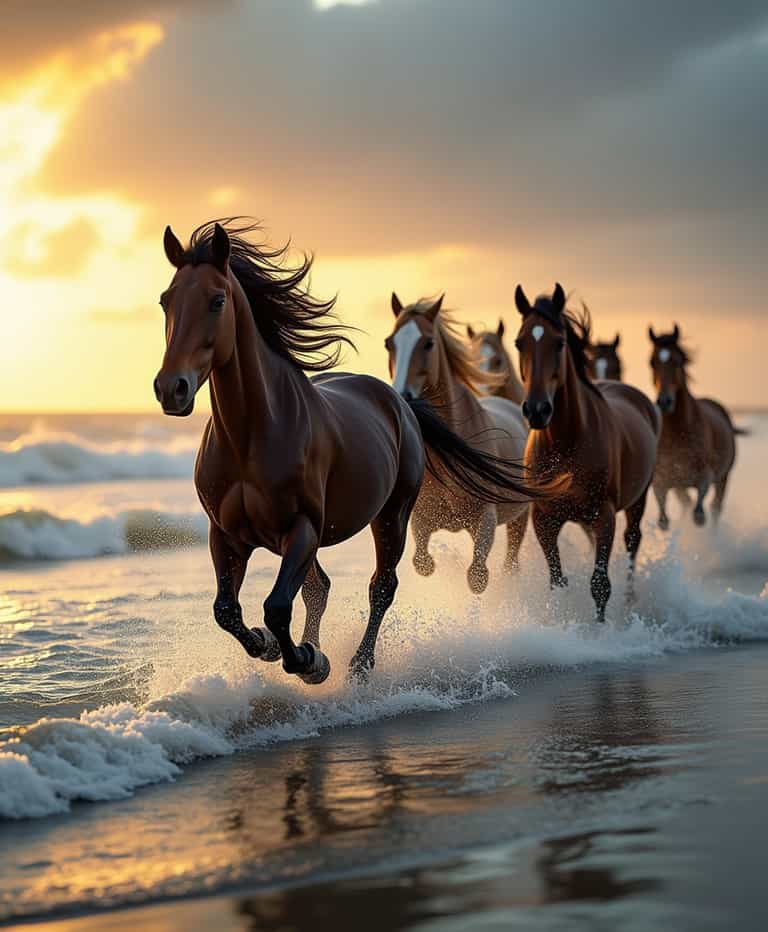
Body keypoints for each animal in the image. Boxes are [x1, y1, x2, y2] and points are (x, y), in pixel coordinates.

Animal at [385, 293, 532, 592]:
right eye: (389, 343)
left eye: (428, 343)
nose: (402, 398)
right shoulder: (422, 518)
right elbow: (423, 563)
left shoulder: (485, 518)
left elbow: (477, 577)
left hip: (519, 518)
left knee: (511, 560)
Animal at [515, 285, 660, 622]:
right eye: (518, 342)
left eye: (560, 342)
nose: (537, 410)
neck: (566, 444)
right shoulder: (544, 520)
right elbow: (557, 582)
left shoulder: (603, 516)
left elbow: (600, 584)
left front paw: (599, 628)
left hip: (638, 499)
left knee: (632, 542)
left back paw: (629, 603)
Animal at [648, 325, 740, 529]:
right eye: (652, 362)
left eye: (677, 361)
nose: (664, 401)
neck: (678, 434)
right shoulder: (663, 481)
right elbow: (663, 520)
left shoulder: (705, 475)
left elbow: (699, 513)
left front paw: (699, 520)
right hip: (680, 487)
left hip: (724, 477)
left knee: (715, 506)